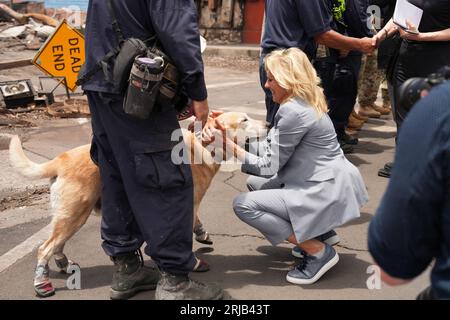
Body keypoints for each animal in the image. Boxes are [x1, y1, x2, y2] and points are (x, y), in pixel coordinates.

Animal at [8, 112, 266, 298]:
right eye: (244, 120)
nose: (268, 123)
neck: (201, 145)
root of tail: (60, 160)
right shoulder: (184, 205)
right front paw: (191, 263)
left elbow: (195, 223)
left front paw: (201, 233)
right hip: (75, 214)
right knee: (44, 248)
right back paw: (42, 283)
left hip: (71, 215)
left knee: (56, 243)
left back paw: (63, 262)